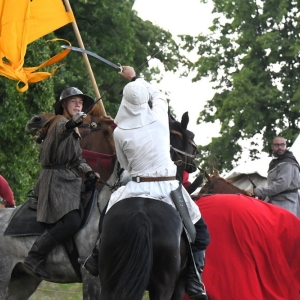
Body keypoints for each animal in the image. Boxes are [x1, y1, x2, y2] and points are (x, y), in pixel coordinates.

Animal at [97, 111, 198, 298]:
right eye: (191, 137)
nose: (193, 165)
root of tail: (141, 217)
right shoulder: (179, 286)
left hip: (108, 281)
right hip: (163, 287)